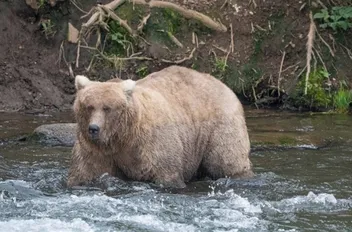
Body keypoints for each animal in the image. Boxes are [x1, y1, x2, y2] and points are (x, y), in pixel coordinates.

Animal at [66, 65, 253, 188]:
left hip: (219, 126)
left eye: (107, 108)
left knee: (226, 160)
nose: (94, 128)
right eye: (89, 106)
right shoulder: (96, 150)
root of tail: (224, 85)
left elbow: (167, 173)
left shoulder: (152, 143)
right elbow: (84, 172)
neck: (123, 137)